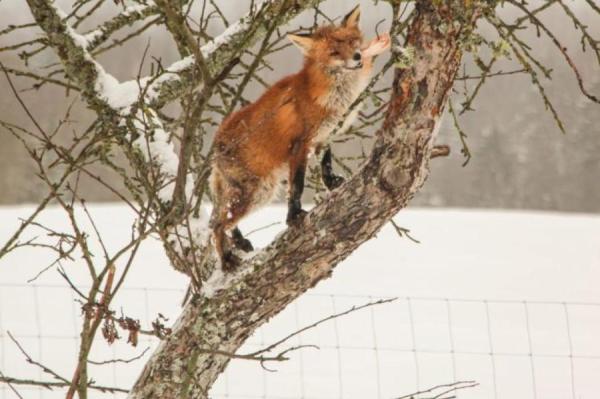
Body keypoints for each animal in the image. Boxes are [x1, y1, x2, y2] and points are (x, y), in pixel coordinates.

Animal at [209, 4, 392, 268]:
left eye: (352, 42)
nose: (358, 56)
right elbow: (297, 185)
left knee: (222, 218)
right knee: (215, 224)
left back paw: (238, 242)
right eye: (334, 52)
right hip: (257, 193)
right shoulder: (300, 144)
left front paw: (331, 183)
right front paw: (293, 217)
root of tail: (215, 146)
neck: (335, 96)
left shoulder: (324, 136)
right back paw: (225, 259)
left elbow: (326, 162)